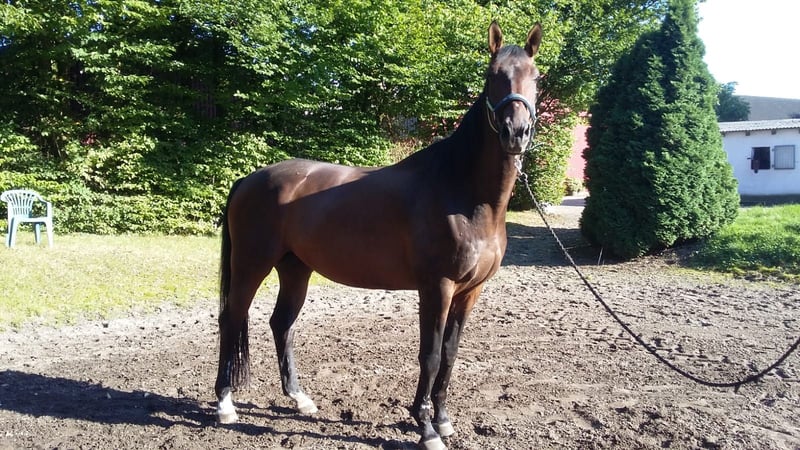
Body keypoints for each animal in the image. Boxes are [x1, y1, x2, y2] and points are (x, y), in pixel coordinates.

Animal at [215, 20, 542, 450]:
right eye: (493, 76)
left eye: (535, 77)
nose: (515, 133)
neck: (463, 192)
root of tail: (248, 179)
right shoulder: (437, 287)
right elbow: (430, 355)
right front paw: (426, 429)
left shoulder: (471, 291)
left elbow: (450, 354)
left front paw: (443, 419)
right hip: (252, 264)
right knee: (231, 318)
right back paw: (225, 405)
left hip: (295, 268)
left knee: (281, 324)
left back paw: (300, 399)